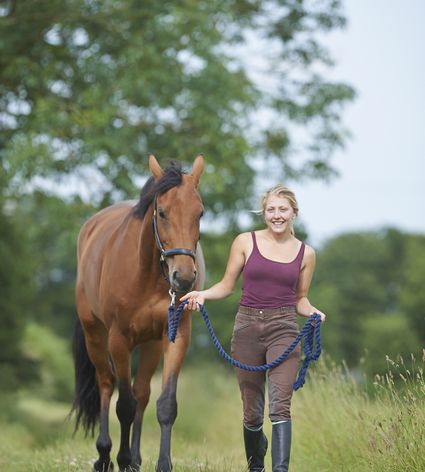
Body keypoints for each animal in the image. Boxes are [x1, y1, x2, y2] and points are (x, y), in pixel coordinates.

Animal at [72, 156, 205, 472]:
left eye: (200, 213)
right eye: (162, 212)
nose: (183, 277)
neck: (148, 274)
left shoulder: (175, 336)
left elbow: (164, 404)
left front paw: (161, 464)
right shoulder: (119, 340)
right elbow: (124, 406)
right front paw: (120, 459)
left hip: (151, 344)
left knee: (142, 393)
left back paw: (135, 459)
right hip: (95, 336)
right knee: (107, 385)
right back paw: (105, 456)